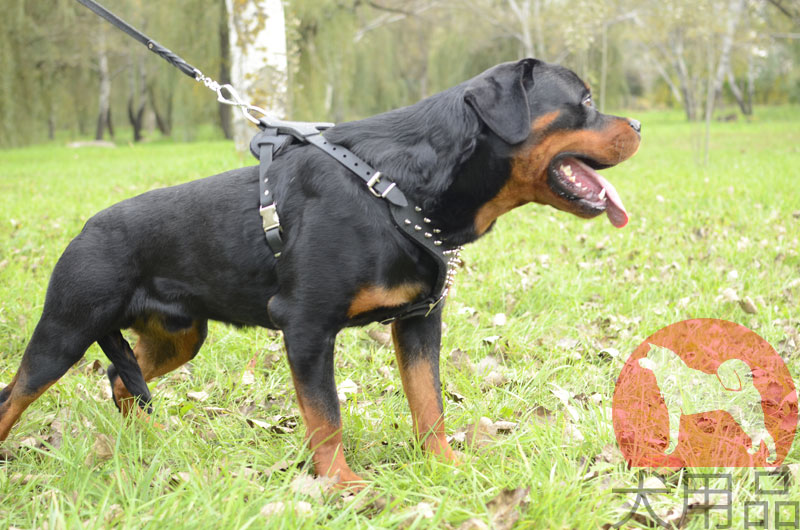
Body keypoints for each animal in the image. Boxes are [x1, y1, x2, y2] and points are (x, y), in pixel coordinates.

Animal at [0, 59, 636, 484]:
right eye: (583, 100)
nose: (636, 126)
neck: (397, 185)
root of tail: (84, 229)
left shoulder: (419, 322)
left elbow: (428, 403)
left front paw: (446, 467)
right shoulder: (306, 326)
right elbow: (326, 418)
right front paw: (345, 487)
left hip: (179, 335)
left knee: (120, 379)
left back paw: (149, 446)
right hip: (64, 330)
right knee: (17, 393)